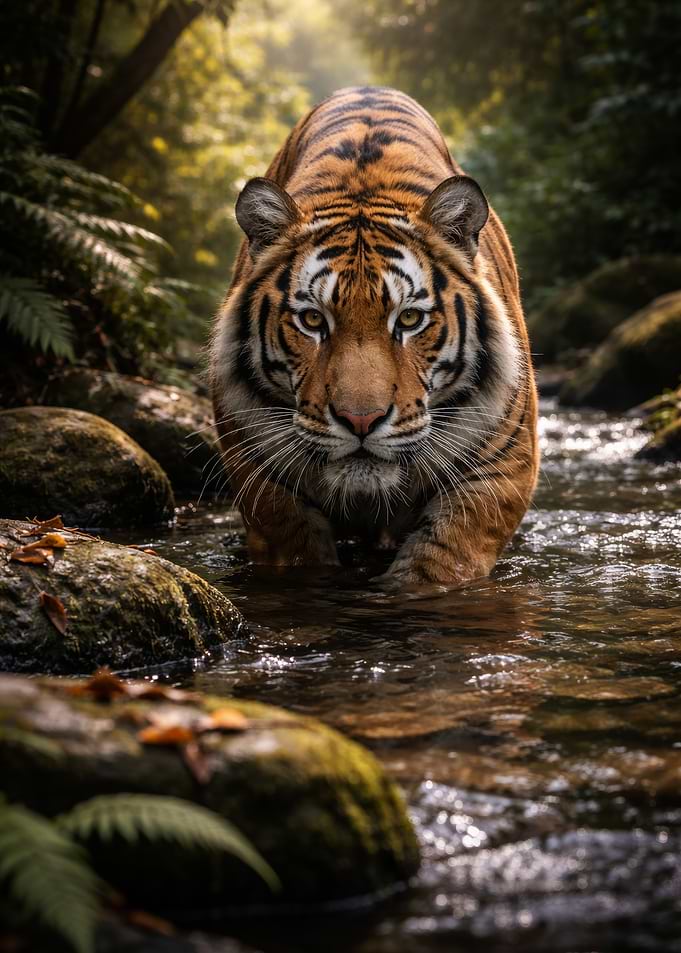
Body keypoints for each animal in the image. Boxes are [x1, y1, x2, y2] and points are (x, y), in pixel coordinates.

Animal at [210, 86, 538, 586]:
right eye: (312, 321)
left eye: (409, 320)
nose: (360, 420)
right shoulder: (259, 473)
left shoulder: (501, 469)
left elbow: (439, 561)